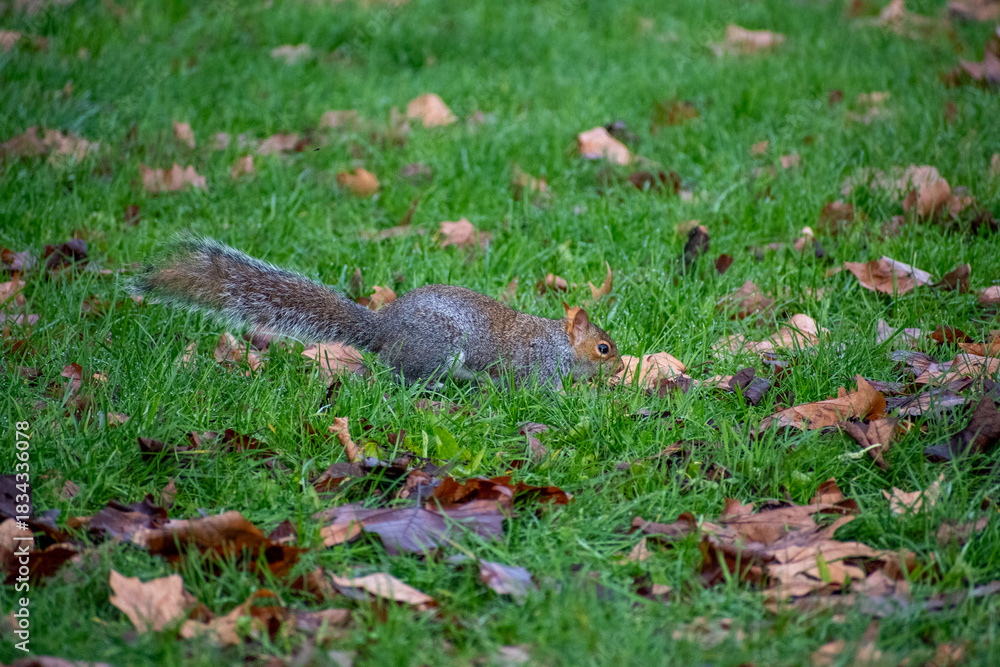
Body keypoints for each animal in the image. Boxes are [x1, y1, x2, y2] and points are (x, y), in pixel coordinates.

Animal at [134, 238, 621, 389]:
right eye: (604, 348)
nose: (619, 369)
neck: (560, 343)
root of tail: (383, 329)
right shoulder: (538, 366)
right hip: (439, 349)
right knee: (400, 375)